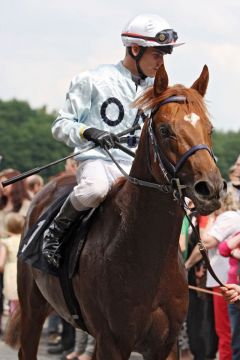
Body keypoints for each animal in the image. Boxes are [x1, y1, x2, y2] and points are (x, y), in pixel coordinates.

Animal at [4, 63, 226, 358]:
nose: (210, 188)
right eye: (165, 129)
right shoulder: (113, 342)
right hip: (33, 309)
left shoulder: (165, 345)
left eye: (209, 128)